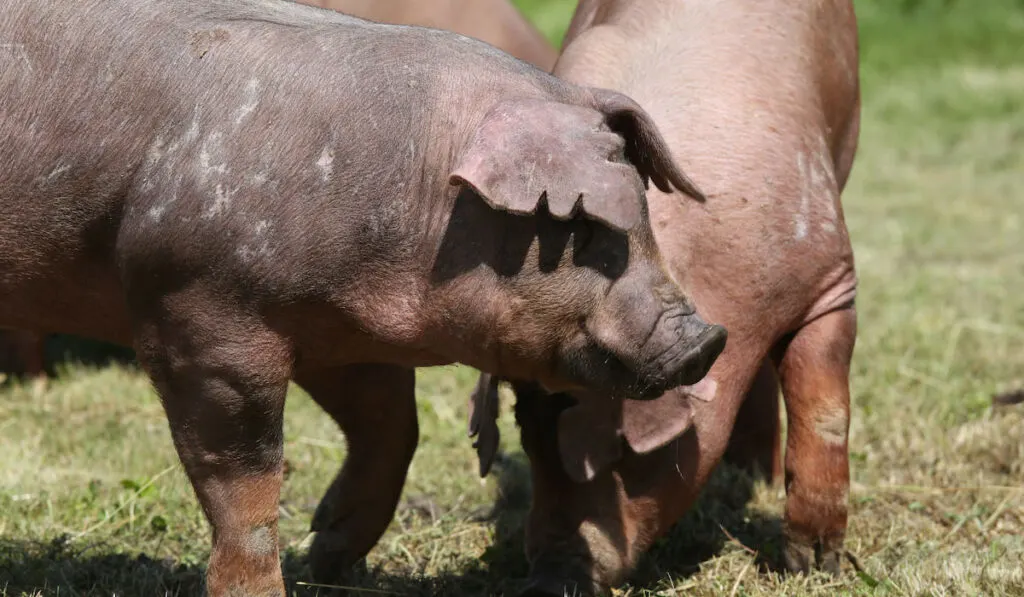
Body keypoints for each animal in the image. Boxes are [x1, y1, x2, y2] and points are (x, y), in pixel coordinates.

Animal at [471, 1, 864, 593]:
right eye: (526, 432)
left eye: (618, 451)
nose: (547, 580)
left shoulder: (830, 275)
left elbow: (822, 406)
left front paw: (813, 566)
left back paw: (760, 478)